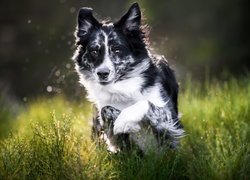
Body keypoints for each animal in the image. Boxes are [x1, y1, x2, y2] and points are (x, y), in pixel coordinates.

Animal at [72, 2, 184, 153]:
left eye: (117, 50)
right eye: (94, 51)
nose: (102, 73)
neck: (120, 87)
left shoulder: (168, 118)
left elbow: (146, 103)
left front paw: (124, 121)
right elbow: (106, 110)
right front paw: (123, 124)